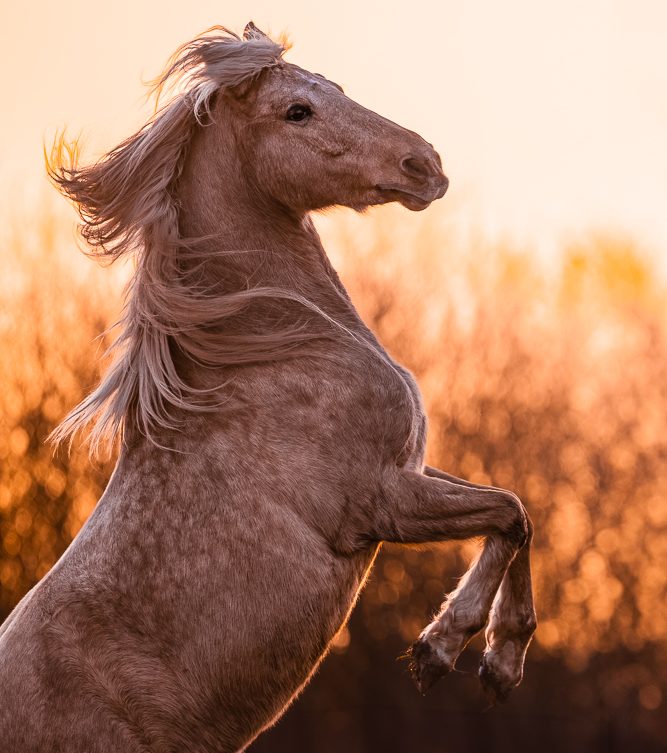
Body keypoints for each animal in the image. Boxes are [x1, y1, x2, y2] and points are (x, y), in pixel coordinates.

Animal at [0, 23, 536, 753]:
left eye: (334, 88)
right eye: (296, 112)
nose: (422, 164)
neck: (272, 351)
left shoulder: (411, 468)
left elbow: (519, 513)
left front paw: (496, 665)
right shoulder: (380, 501)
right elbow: (508, 511)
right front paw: (443, 650)